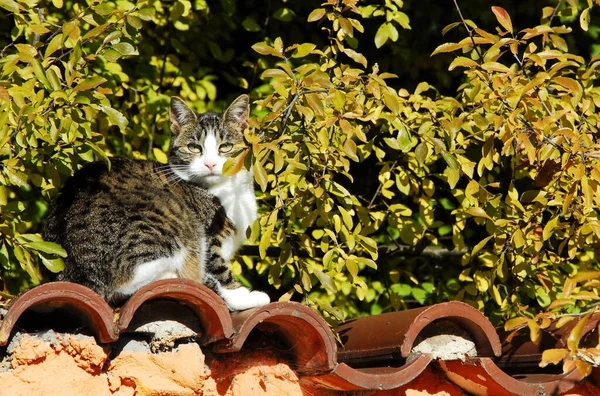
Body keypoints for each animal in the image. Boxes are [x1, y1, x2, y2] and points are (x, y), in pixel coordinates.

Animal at [42, 94, 268, 310]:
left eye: (226, 147)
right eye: (194, 148)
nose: (210, 164)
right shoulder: (211, 236)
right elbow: (220, 270)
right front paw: (245, 296)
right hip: (168, 222)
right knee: (126, 283)